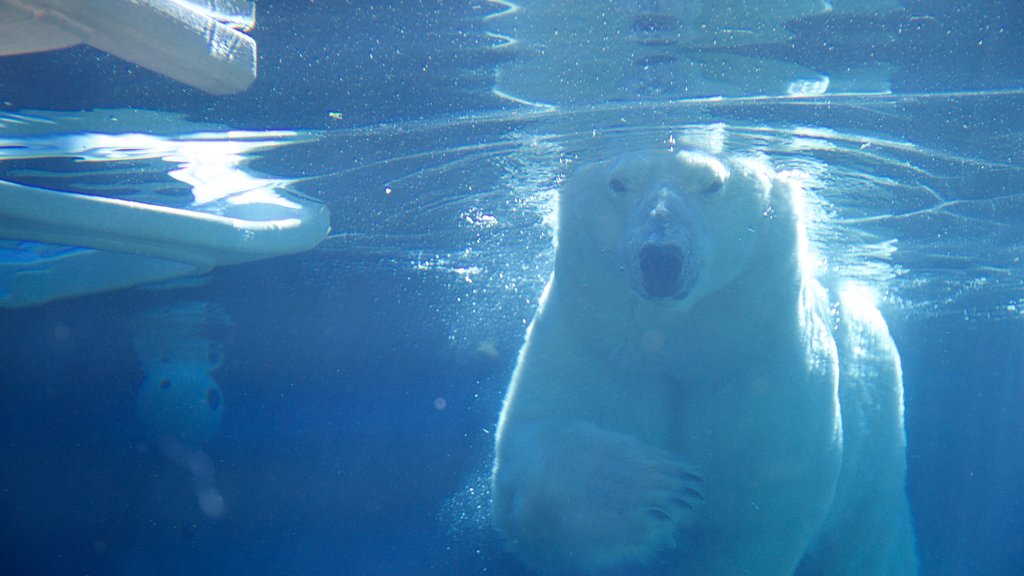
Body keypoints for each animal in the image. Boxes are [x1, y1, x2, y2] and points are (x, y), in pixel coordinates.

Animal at [491, 150, 917, 569]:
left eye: (712, 183)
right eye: (618, 182)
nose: (660, 260)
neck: (678, 341)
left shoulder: (767, 371)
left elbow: (754, 517)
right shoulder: (587, 341)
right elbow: (528, 449)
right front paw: (654, 487)